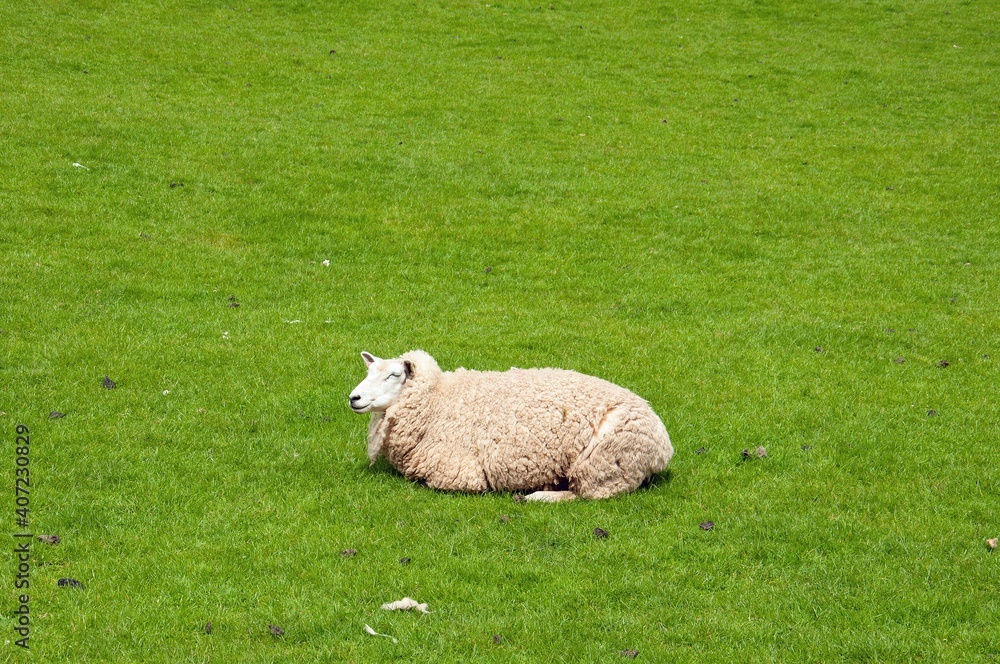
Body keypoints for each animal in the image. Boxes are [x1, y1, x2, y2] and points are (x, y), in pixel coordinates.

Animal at [348, 350, 673, 502]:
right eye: (368, 372)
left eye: (394, 375)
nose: (354, 398)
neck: (438, 399)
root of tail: (664, 448)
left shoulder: (459, 474)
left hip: (604, 461)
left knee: (587, 495)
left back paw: (538, 496)